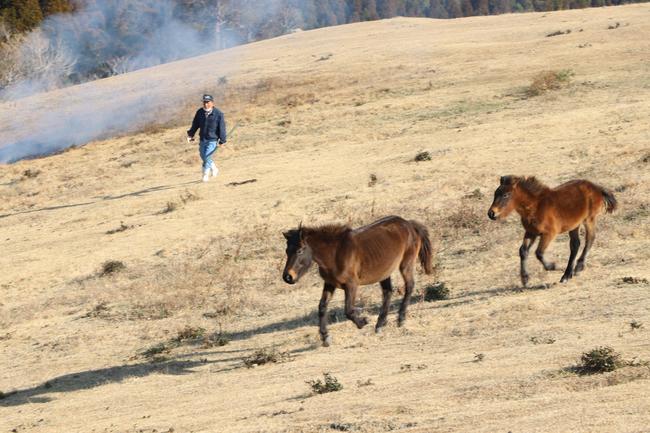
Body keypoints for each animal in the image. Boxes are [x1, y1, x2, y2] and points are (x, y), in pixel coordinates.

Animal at [280, 214, 428, 346]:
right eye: (287, 251)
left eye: (299, 250)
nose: (288, 277)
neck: (335, 254)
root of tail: (408, 224)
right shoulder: (330, 284)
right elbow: (322, 307)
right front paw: (325, 337)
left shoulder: (351, 285)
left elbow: (348, 310)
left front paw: (363, 322)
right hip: (384, 272)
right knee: (388, 292)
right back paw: (380, 324)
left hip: (406, 265)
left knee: (409, 286)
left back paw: (401, 319)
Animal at [486, 176, 616, 284]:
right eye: (495, 194)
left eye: (506, 195)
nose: (491, 213)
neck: (535, 207)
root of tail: (596, 187)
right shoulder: (531, 232)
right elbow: (523, 251)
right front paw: (525, 279)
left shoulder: (549, 233)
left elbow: (539, 253)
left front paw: (552, 266)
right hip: (574, 225)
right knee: (575, 245)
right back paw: (566, 275)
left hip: (589, 219)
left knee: (590, 238)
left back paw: (578, 267)